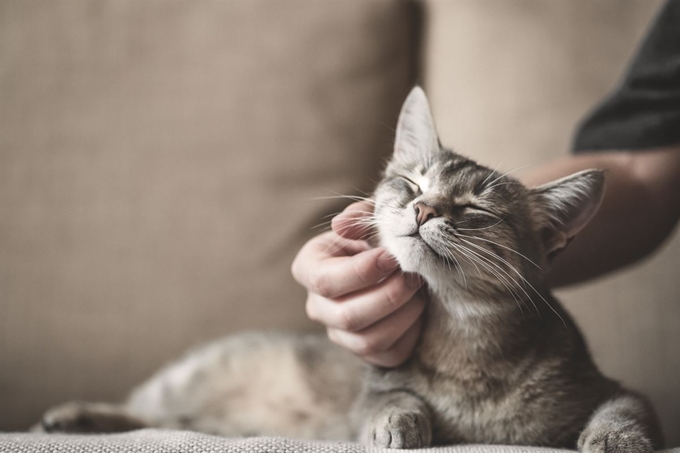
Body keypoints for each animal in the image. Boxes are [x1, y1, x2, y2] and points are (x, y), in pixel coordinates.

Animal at [39, 86, 660, 450]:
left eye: (475, 210)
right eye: (411, 184)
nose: (424, 209)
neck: (462, 342)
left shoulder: (612, 389)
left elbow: (627, 409)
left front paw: (614, 439)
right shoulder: (376, 385)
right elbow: (390, 398)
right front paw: (399, 422)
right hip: (185, 381)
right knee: (142, 409)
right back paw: (74, 416)